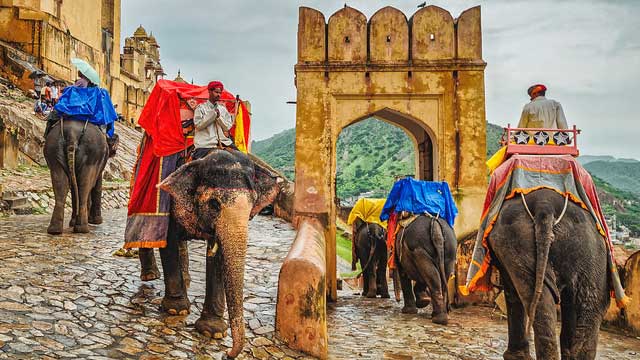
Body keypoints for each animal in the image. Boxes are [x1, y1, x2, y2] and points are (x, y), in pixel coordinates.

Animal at [154, 148, 280, 358]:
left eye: (253, 204)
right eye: (214, 204)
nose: (227, 354)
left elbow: (218, 256)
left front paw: (213, 332)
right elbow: (168, 239)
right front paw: (175, 311)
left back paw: (186, 279)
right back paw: (150, 275)